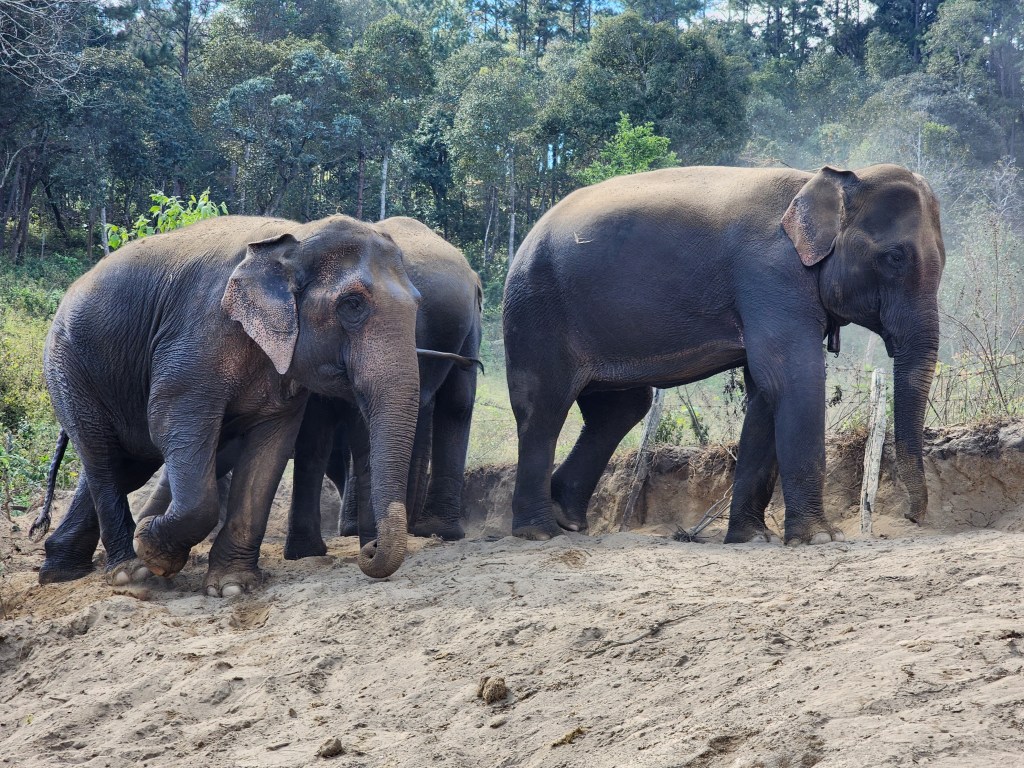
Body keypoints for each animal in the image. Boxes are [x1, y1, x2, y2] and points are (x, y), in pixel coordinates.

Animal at [38, 214, 425, 595]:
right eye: (352, 304)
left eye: (418, 305)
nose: (369, 549)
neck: (294, 238)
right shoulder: (195, 340)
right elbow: (171, 424)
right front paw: (151, 549)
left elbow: (270, 449)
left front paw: (232, 586)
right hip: (68, 367)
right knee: (101, 454)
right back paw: (128, 574)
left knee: (126, 464)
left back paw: (60, 572)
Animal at [502, 164, 945, 544]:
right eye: (895, 257)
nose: (912, 517)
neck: (822, 180)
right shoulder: (770, 277)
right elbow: (792, 377)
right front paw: (820, 538)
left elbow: (765, 393)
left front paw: (752, 538)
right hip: (535, 311)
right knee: (544, 407)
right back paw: (540, 532)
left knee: (620, 409)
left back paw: (567, 518)